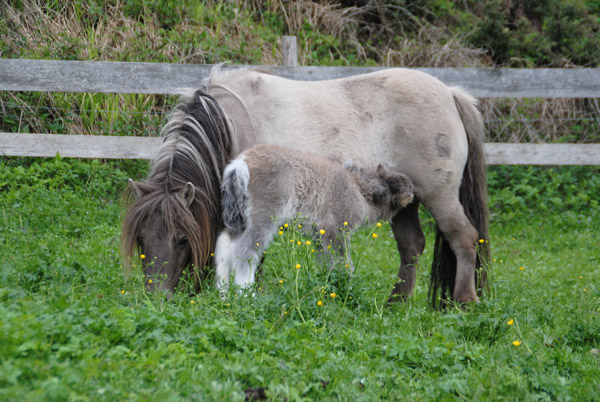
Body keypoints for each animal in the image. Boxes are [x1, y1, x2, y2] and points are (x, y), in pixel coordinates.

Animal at [120, 66, 488, 304]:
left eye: (182, 239)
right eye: (140, 239)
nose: (156, 299)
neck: (229, 121)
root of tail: (451, 94)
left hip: (439, 197)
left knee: (464, 239)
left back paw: (464, 302)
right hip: (406, 203)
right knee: (412, 247)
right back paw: (397, 302)